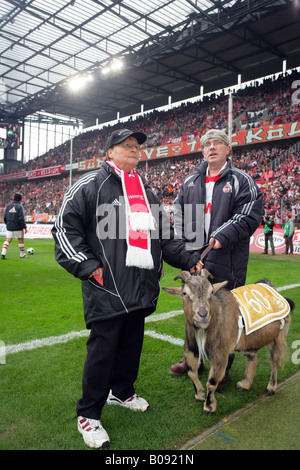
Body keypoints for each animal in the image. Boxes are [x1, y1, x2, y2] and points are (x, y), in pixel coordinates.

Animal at [163, 270, 294, 414]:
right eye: (185, 293)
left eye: (211, 292)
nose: (203, 315)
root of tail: (272, 288)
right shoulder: (190, 351)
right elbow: (191, 372)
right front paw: (199, 394)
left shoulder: (220, 355)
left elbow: (212, 382)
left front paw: (209, 407)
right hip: (246, 341)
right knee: (253, 357)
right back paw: (244, 384)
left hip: (278, 336)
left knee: (274, 360)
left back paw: (271, 388)